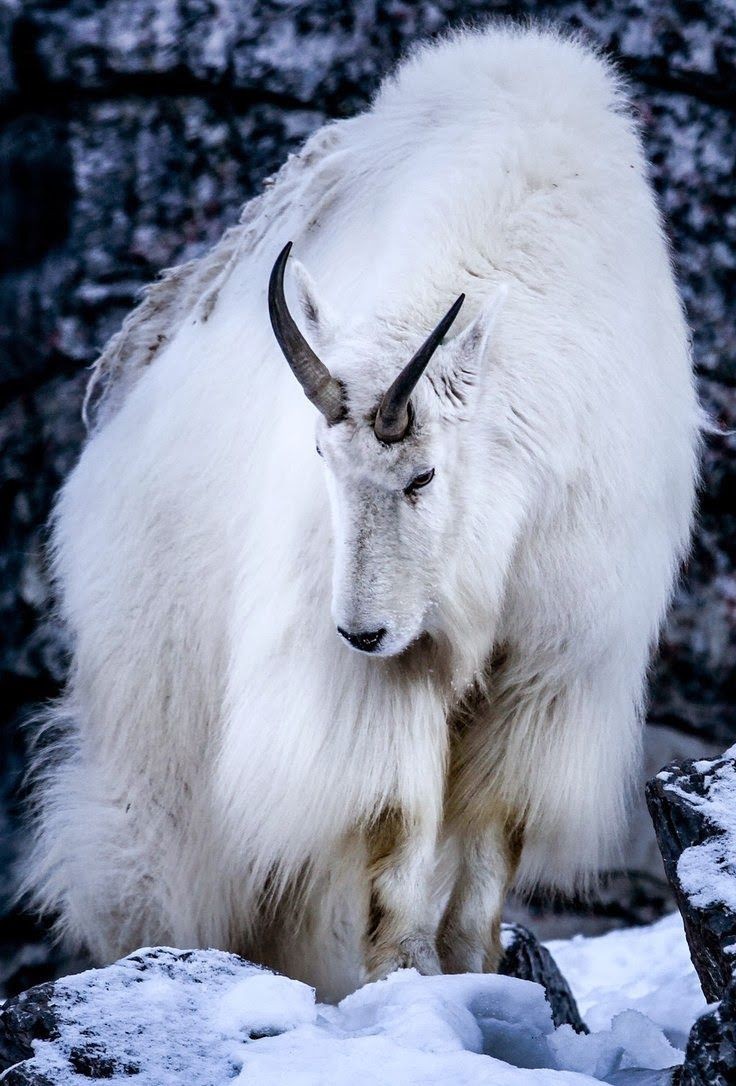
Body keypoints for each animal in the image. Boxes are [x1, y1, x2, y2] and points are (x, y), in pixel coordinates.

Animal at [24, 25, 703, 994]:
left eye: (423, 476)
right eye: (322, 461)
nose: (360, 631)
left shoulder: (549, 665)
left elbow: (493, 833)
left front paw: (476, 968)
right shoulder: (375, 680)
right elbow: (394, 821)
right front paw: (404, 974)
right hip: (157, 722)